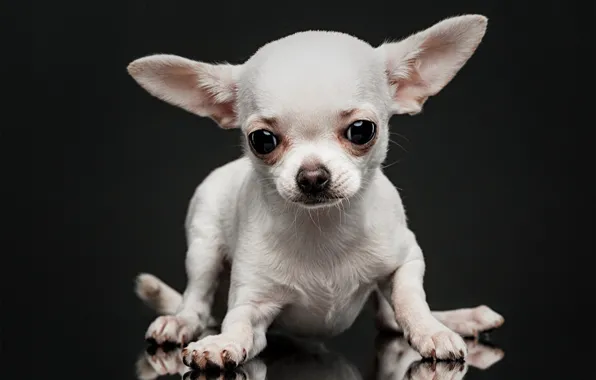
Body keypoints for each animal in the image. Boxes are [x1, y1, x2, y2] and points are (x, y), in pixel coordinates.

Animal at [128, 14, 506, 372]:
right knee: (197, 300)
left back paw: (460, 318)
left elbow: (411, 299)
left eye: (361, 130)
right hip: (203, 247)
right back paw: (178, 322)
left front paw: (432, 331)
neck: (323, 227)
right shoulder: (252, 300)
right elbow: (237, 324)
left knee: (389, 320)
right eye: (262, 140)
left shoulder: (406, 258)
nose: (311, 176)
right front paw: (221, 344)